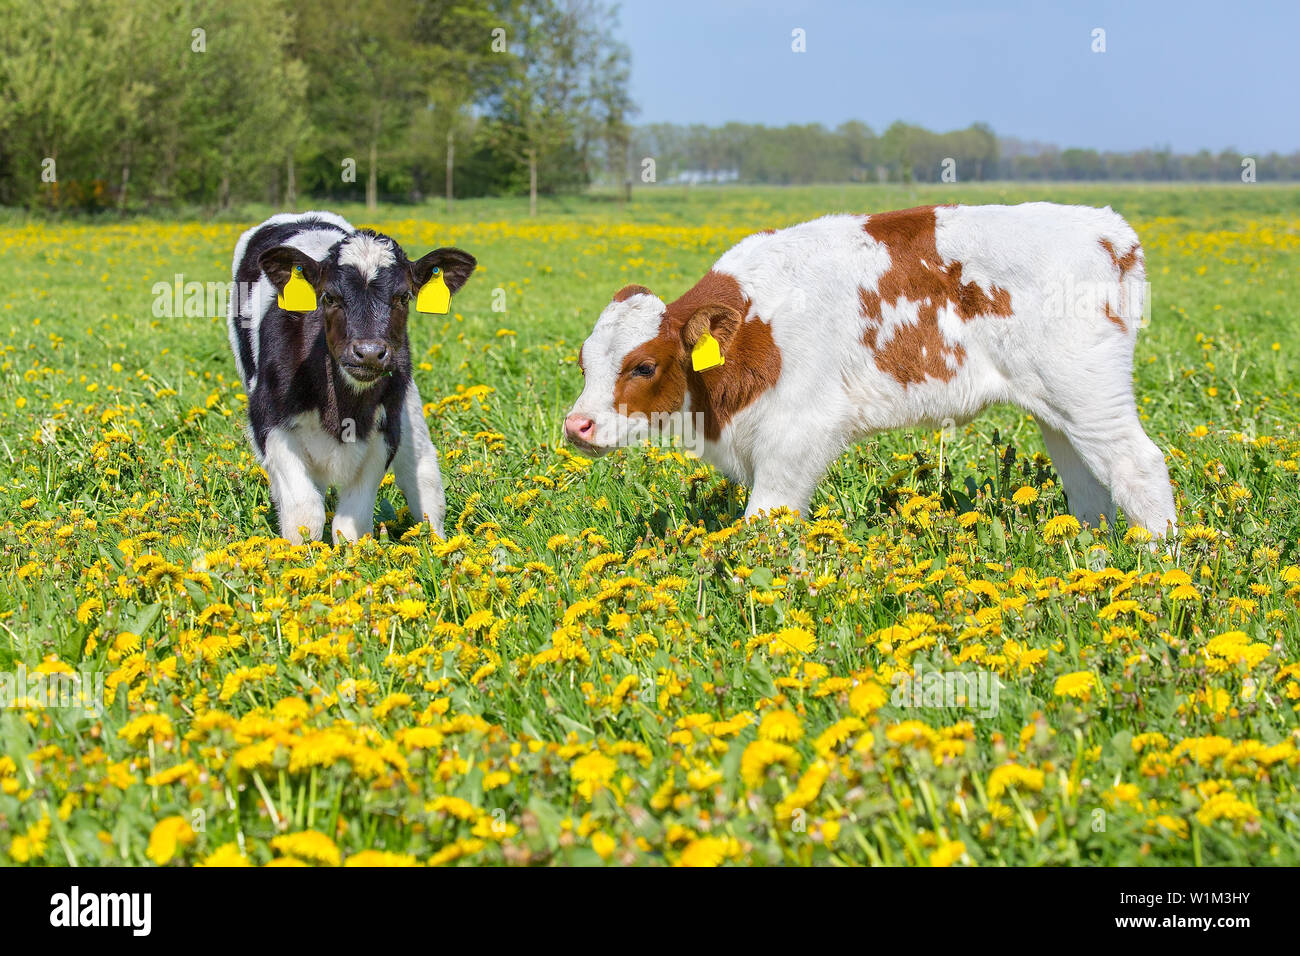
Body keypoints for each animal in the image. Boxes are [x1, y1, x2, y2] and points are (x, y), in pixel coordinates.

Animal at [230, 214, 478, 546]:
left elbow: (350, 525)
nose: (369, 352)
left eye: (403, 297)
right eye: (329, 296)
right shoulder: (268, 422)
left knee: (425, 482)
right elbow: (304, 515)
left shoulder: (387, 430)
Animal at [566, 201, 1180, 535]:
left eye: (643, 366)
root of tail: (1107, 229)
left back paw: (1163, 563)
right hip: (1057, 407)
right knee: (1089, 482)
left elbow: (766, 522)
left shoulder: (799, 433)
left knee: (1139, 466)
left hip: (1090, 394)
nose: (577, 425)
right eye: (582, 362)